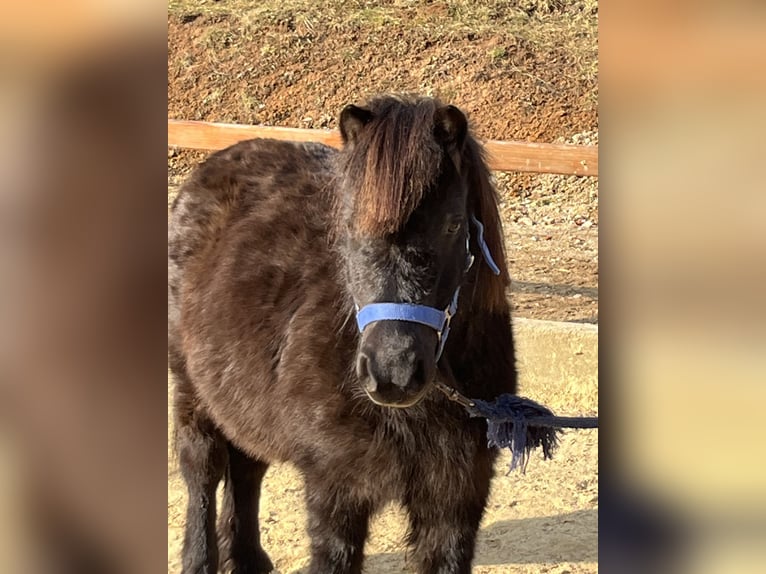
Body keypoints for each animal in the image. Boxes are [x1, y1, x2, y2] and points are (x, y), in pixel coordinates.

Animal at [167, 95, 516, 574]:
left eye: (451, 226)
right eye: (351, 224)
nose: (393, 372)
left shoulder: (456, 499)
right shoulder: (336, 492)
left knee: (246, 464)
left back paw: (248, 558)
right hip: (190, 385)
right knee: (203, 466)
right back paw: (201, 559)